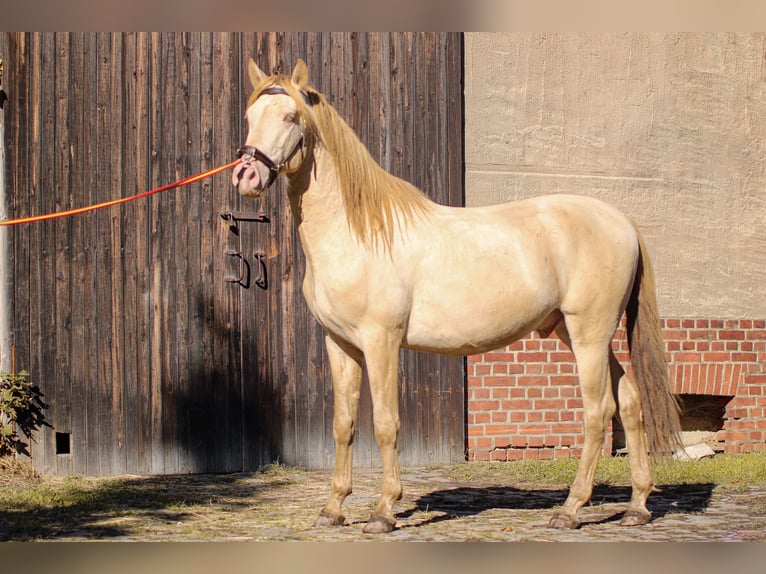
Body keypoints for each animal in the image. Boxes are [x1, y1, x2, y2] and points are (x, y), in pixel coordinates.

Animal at [234, 59, 684, 536]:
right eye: (249, 116)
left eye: (290, 117)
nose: (246, 176)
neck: (358, 231)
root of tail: (623, 221)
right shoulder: (340, 344)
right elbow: (344, 423)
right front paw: (334, 507)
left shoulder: (381, 341)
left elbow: (386, 424)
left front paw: (384, 510)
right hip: (577, 333)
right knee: (630, 401)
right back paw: (637, 506)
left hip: (590, 335)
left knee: (599, 412)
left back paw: (571, 509)